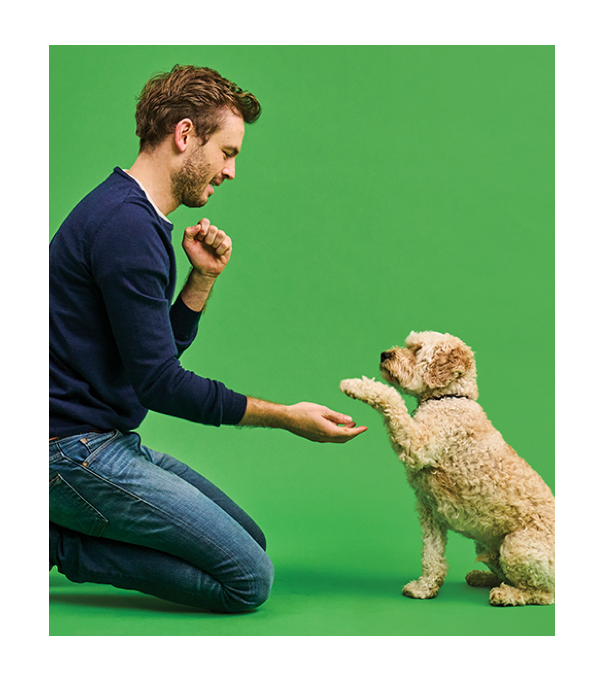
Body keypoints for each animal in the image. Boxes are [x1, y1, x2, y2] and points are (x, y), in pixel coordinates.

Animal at [340, 334, 552, 608]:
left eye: (417, 350)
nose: (384, 354)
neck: (450, 398)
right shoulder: (430, 511)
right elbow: (431, 555)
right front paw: (424, 588)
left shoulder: (418, 444)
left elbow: (392, 398)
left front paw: (357, 385)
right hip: (489, 546)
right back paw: (484, 577)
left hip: (517, 546)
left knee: (544, 593)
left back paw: (508, 594)